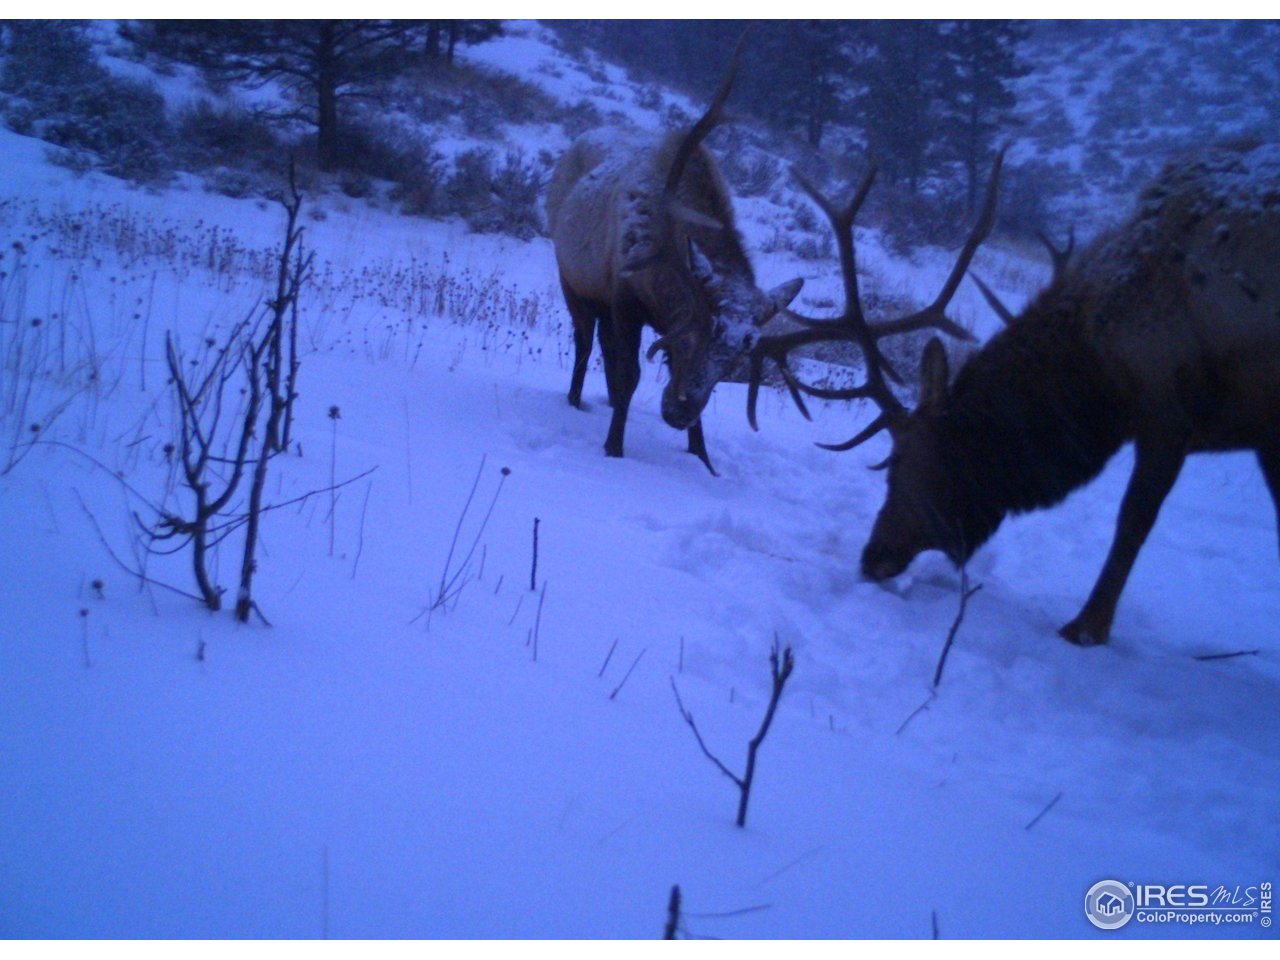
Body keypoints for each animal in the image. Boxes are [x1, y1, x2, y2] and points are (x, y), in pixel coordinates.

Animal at [545, 42, 803, 476]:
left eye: (736, 360)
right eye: (688, 340)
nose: (680, 412)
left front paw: (703, 459)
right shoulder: (624, 299)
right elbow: (629, 374)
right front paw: (613, 447)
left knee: (603, 347)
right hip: (573, 279)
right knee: (584, 344)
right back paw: (575, 399)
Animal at [749, 140, 1280, 646]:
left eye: (898, 461)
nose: (871, 556)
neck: (1102, 375)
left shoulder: (1166, 407)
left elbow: (1133, 520)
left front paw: (1086, 627)